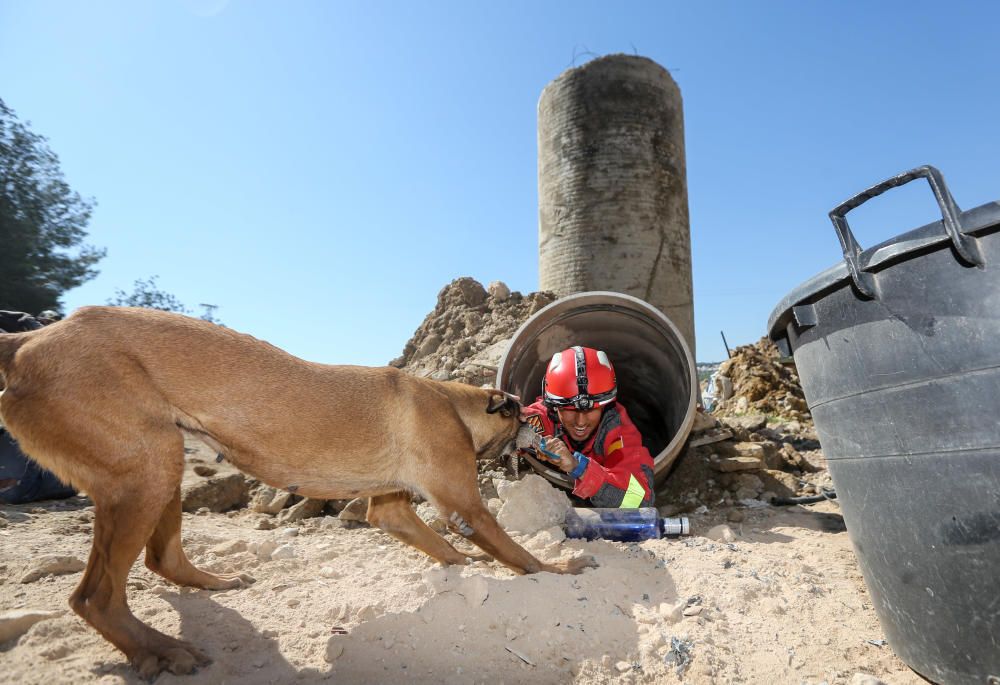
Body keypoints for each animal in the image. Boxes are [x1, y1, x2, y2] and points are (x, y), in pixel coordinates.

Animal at [0, 308, 592, 676]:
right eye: (529, 415)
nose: (552, 434)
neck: (453, 401)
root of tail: (27, 339)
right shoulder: (466, 504)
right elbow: (518, 554)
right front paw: (559, 568)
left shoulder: (392, 511)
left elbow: (444, 548)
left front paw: (466, 562)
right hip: (148, 468)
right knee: (93, 596)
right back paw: (160, 650)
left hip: (160, 464)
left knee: (160, 558)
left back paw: (212, 583)